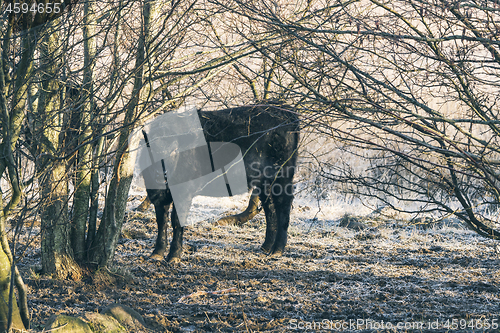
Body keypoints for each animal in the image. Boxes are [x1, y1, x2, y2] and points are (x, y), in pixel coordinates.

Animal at [145, 102, 300, 260]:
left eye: (174, 150)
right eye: (151, 149)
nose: (161, 173)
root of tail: (285, 111)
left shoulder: (184, 194)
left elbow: (176, 221)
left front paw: (174, 255)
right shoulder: (157, 195)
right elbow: (161, 221)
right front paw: (157, 253)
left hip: (282, 176)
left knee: (283, 205)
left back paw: (278, 249)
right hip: (264, 182)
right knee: (270, 208)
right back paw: (266, 246)